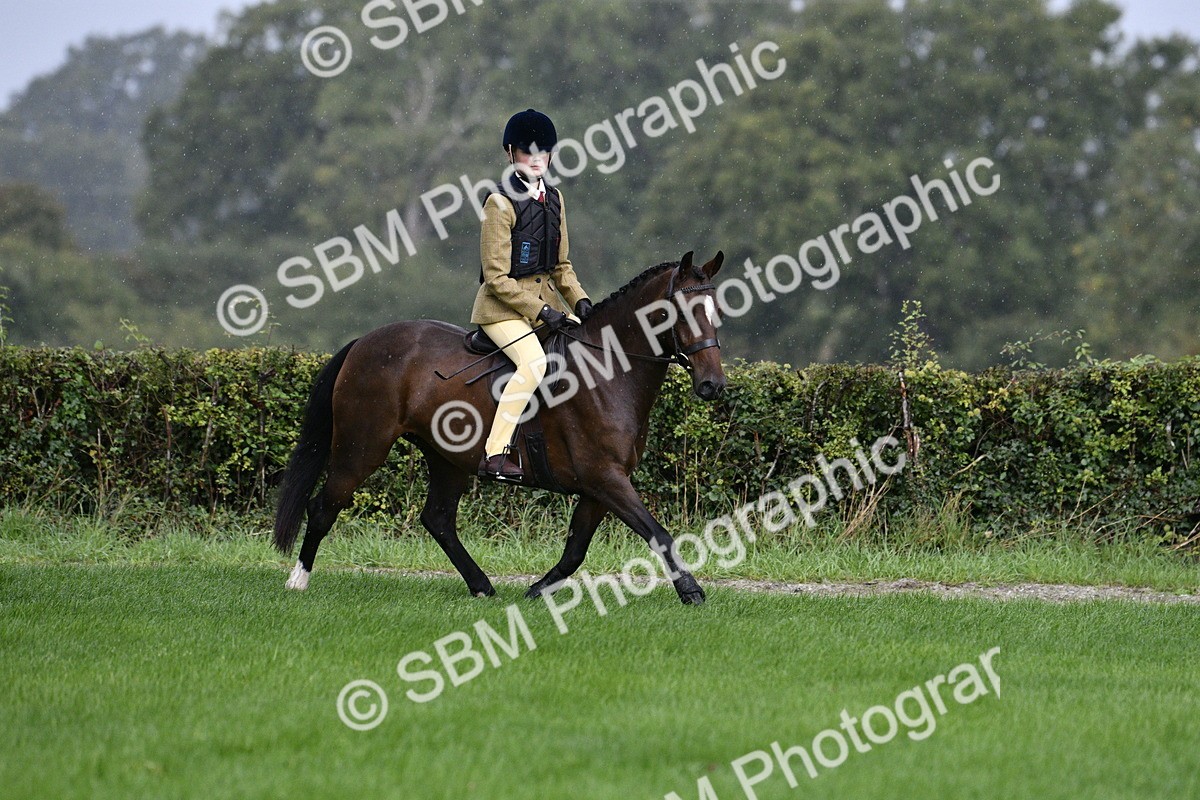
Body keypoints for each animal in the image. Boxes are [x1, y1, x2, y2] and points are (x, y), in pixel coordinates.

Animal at [272, 250, 726, 604]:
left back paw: (482, 586)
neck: (607, 370)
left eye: (715, 312)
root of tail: (363, 342)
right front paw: (691, 591)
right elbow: (657, 532)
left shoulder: (602, 485)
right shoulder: (605, 478)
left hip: (446, 458)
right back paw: (298, 580)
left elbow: (576, 549)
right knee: (324, 506)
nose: (713, 385)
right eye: (681, 313)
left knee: (438, 518)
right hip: (361, 447)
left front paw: (537, 590)